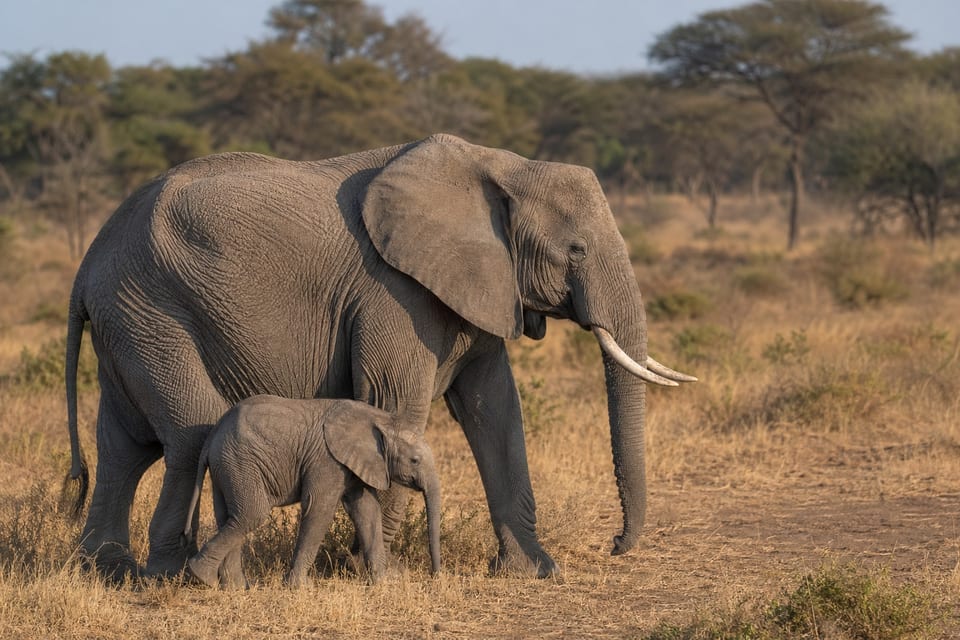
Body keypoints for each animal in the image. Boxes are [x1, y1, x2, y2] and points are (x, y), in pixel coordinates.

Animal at [182, 395, 441, 588]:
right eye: (415, 460)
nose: (435, 576)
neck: (381, 419)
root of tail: (213, 435)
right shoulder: (326, 460)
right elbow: (319, 508)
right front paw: (298, 587)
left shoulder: (354, 463)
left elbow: (367, 510)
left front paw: (381, 583)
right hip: (239, 462)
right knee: (252, 514)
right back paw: (202, 577)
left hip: (225, 466)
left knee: (230, 516)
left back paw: (236, 587)